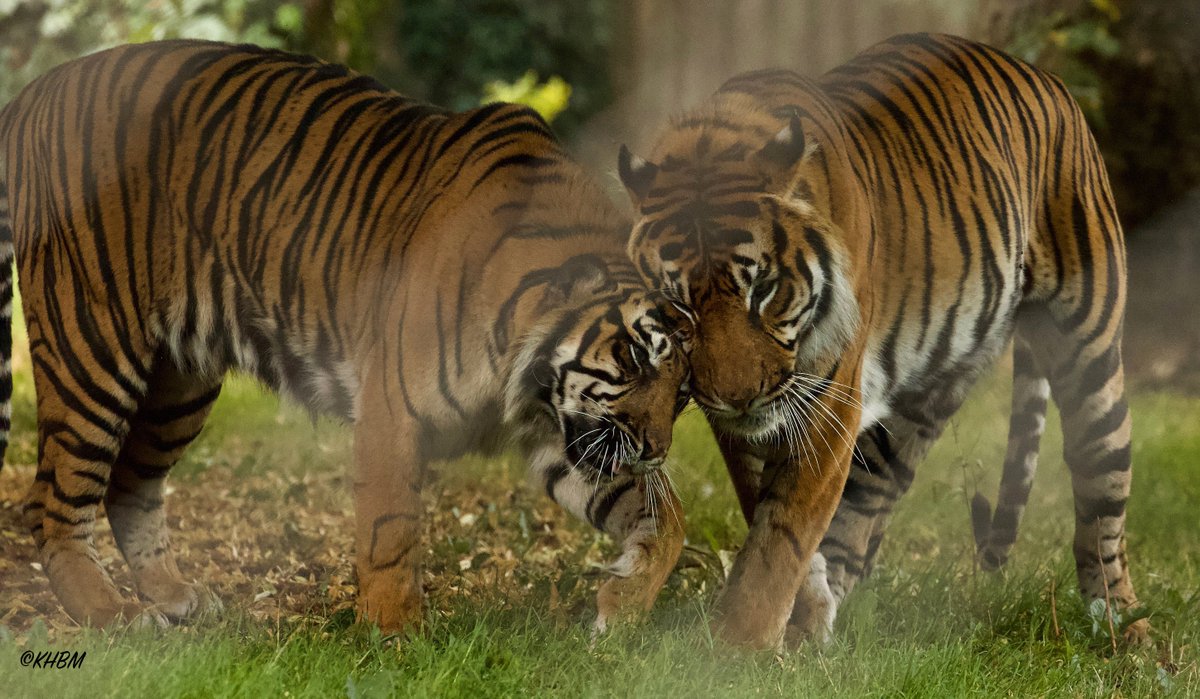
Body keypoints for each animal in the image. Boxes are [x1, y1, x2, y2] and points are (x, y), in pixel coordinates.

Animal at [0, 40, 695, 634]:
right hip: (91, 347)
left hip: (179, 383)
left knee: (129, 485)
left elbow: (668, 522)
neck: (526, 377)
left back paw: (173, 597)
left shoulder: (570, 433)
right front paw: (395, 640)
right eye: (635, 357)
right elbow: (390, 531)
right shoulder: (393, 411)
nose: (658, 450)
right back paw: (112, 615)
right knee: (52, 500)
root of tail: (38, 89)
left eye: (684, 392)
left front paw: (620, 607)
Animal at [616, 33, 1147, 649]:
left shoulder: (827, 398)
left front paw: (736, 648)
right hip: (925, 396)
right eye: (680, 307)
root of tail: (1044, 76)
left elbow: (783, 532)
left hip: (1090, 356)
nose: (740, 397)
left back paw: (1125, 631)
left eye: (763, 290)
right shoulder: (738, 423)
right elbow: (773, 515)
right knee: (867, 501)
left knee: (1103, 502)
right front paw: (801, 612)